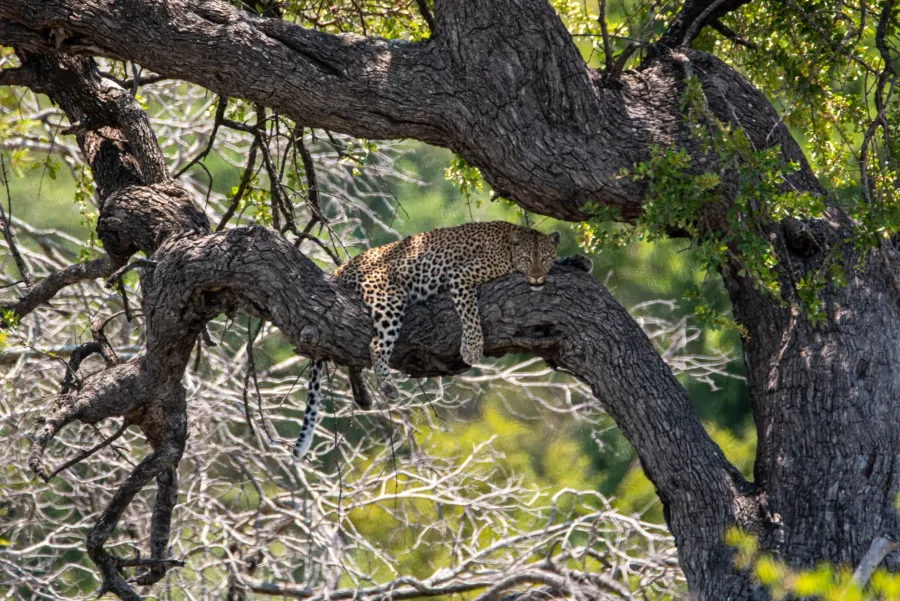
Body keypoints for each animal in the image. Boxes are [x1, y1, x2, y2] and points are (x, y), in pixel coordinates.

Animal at [293, 221, 563, 459]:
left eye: (545, 259)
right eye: (527, 259)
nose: (537, 278)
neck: (509, 246)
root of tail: (342, 268)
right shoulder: (460, 275)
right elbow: (469, 312)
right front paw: (472, 348)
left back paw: (362, 397)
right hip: (390, 297)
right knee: (375, 345)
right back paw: (387, 387)